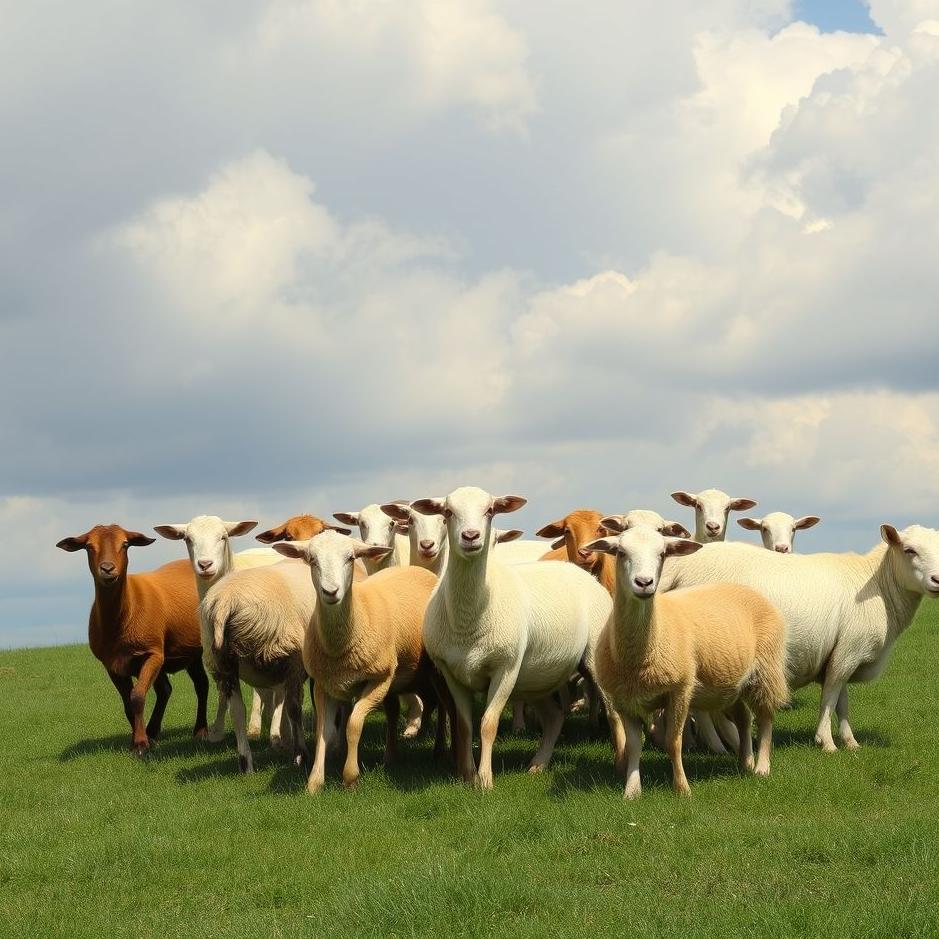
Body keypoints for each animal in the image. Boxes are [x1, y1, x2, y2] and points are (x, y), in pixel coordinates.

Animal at [56, 524, 209, 753]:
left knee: (200, 686)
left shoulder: (153, 654)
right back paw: (154, 731)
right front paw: (137, 739)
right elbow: (128, 703)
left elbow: (137, 697)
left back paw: (200, 731)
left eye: (125, 544)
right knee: (171, 689)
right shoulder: (112, 665)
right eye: (89, 546)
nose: (107, 568)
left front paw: (140, 745)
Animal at [272, 531, 448, 793]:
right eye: (312, 560)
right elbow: (323, 731)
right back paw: (391, 756)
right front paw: (314, 782)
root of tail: (418, 570)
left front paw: (350, 776)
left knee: (443, 705)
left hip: (431, 672)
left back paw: (439, 749)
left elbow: (353, 724)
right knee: (399, 710)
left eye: (350, 558)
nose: (330, 591)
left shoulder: (379, 679)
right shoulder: (325, 685)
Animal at [412, 486, 613, 790]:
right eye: (448, 512)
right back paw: (538, 764)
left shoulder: (505, 668)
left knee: (614, 712)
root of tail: (580, 572)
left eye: (490, 511)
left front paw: (484, 780)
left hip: (590, 660)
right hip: (536, 674)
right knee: (554, 717)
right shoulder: (451, 673)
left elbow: (488, 724)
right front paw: (468, 775)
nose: (470, 536)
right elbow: (465, 725)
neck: (468, 617)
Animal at [583, 527, 788, 798]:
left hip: (766, 669)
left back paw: (762, 766)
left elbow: (673, 742)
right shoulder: (625, 699)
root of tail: (748, 590)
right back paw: (745, 762)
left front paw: (681, 788)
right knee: (744, 719)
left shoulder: (679, 690)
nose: (644, 583)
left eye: (662, 554)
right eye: (620, 552)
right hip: (730, 683)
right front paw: (632, 790)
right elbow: (634, 746)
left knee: (765, 717)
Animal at [659, 524, 939, 751]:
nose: (937, 579)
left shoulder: (843, 651)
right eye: (909, 550)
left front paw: (849, 741)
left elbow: (842, 701)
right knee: (704, 710)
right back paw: (727, 744)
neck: (879, 586)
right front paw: (826, 742)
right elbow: (830, 696)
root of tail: (680, 568)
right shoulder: (849, 651)